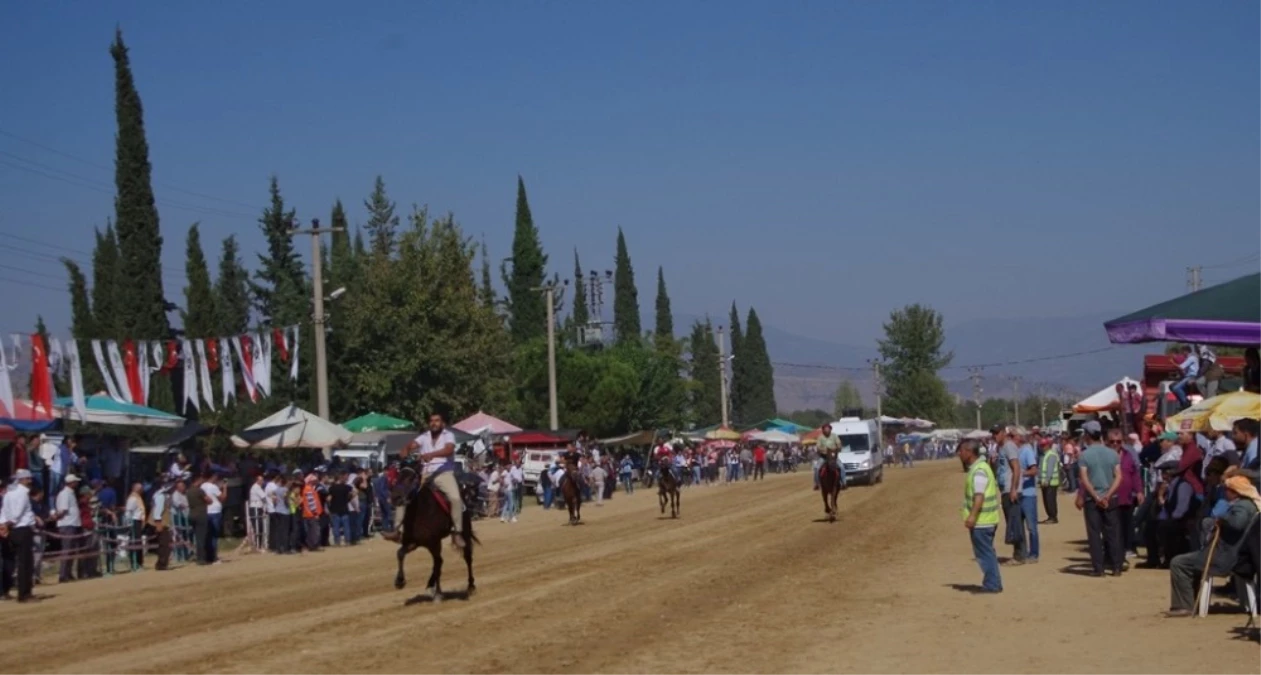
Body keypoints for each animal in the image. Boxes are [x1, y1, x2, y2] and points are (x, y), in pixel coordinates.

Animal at [388, 469, 476, 603]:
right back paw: (431, 585)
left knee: (467, 557)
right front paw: (399, 581)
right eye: (397, 477)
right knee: (439, 561)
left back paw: (470, 586)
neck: (420, 511)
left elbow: (438, 563)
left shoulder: (434, 542)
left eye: (411, 478)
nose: (395, 497)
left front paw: (438, 593)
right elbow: (400, 554)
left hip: (465, 532)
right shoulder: (413, 542)